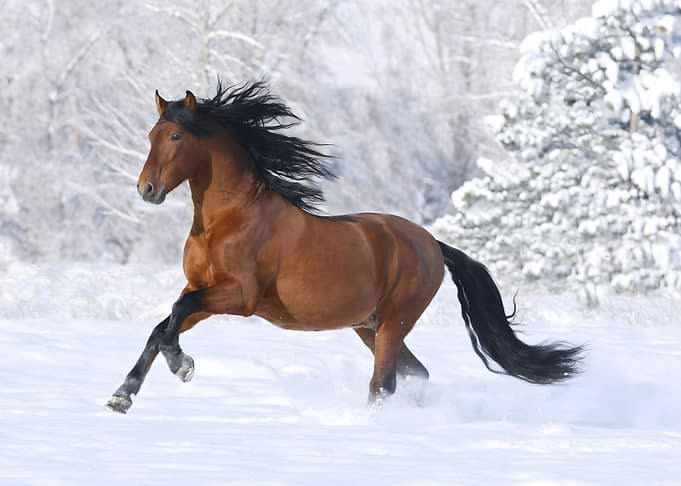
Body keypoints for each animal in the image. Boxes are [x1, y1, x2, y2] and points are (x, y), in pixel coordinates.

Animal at [107, 81, 583, 414]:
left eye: (176, 137)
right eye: (151, 134)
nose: (146, 189)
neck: (228, 219)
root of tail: (431, 242)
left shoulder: (239, 297)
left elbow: (174, 315)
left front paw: (182, 366)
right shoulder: (201, 290)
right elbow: (162, 326)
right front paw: (122, 395)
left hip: (393, 322)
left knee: (383, 383)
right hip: (368, 326)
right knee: (415, 373)